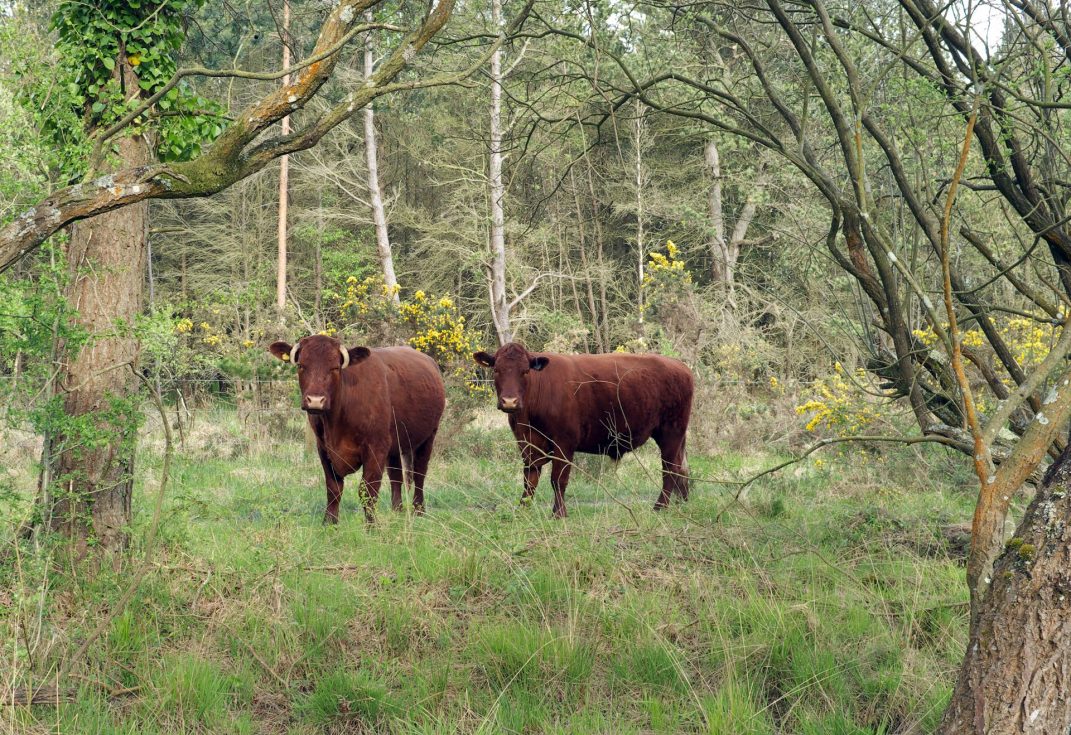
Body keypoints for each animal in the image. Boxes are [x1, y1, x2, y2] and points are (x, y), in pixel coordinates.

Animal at [269, 335, 445, 523]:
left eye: (335, 368)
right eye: (301, 366)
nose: (315, 401)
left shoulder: (376, 446)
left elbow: (368, 491)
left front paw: (371, 525)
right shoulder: (323, 448)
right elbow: (333, 488)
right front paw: (329, 522)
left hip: (429, 436)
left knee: (420, 474)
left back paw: (419, 511)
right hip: (396, 442)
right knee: (396, 476)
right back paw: (397, 511)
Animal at [473, 342, 693, 517]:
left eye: (525, 371)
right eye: (496, 370)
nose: (509, 401)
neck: (527, 419)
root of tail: (680, 366)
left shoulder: (564, 442)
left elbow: (558, 480)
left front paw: (559, 513)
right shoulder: (527, 444)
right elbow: (530, 479)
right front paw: (523, 509)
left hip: (671, 432)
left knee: (670, 469)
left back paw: (660, 507)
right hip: (678, 436)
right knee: (682, 468)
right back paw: (682, 503)